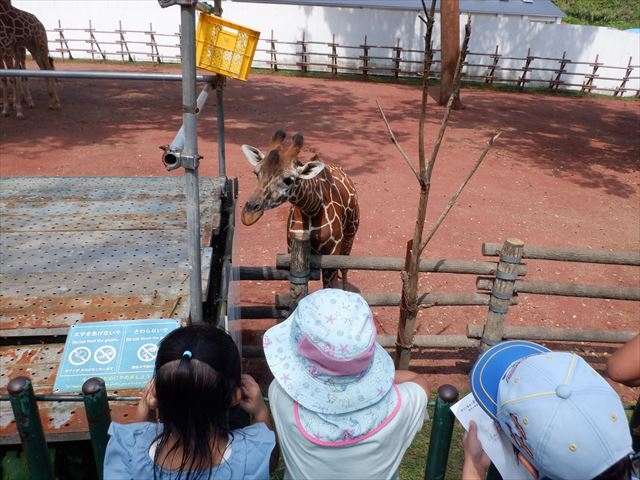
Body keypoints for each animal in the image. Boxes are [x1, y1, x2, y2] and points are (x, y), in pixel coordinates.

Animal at [241, 128, 360, 288]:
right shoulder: (292, 249)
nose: (248, 215)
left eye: (288, 179)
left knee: (345, 267)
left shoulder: (332, 253)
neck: (312, 209)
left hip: (350, 232)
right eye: (256, 173)